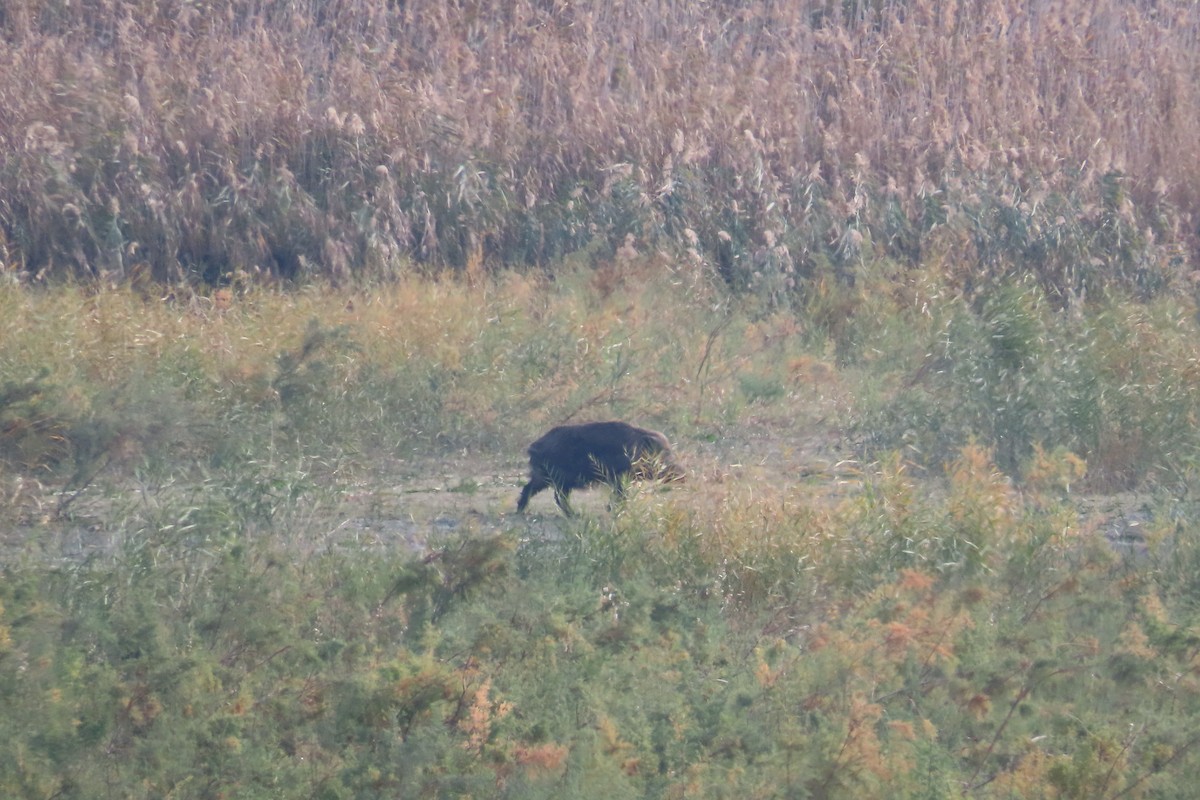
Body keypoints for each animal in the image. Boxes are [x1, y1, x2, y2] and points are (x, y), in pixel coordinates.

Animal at [516, 421, 684, 515]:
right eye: (665, 453)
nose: (683, 475)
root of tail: (533, 447)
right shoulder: (619, 476)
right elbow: (621, 494)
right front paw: (612, 509)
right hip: (558, 477)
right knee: (558, 497)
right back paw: (575, 514)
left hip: (546, 477)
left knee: (529, 489)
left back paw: (521, 511)